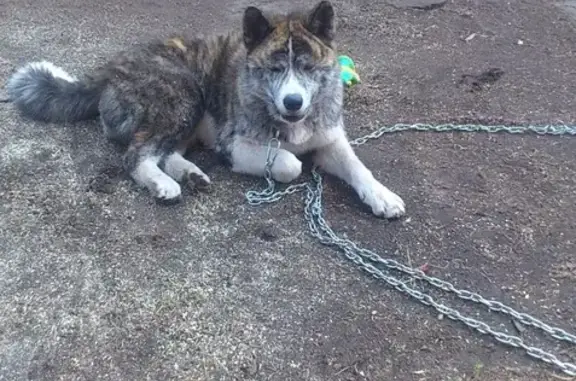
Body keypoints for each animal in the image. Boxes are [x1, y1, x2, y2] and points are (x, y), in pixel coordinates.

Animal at [5, 1, 404, 218]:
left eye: (307, 67)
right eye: (275, 69)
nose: (293, 102)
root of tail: (111, 67)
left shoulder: (330, 139)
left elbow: (358, 167)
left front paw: (382, 196)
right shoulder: (236, 145)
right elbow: (289, 164)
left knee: (165, 152)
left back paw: (189, 173)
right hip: (184, 95)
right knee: (136, 155)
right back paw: (163, 184)